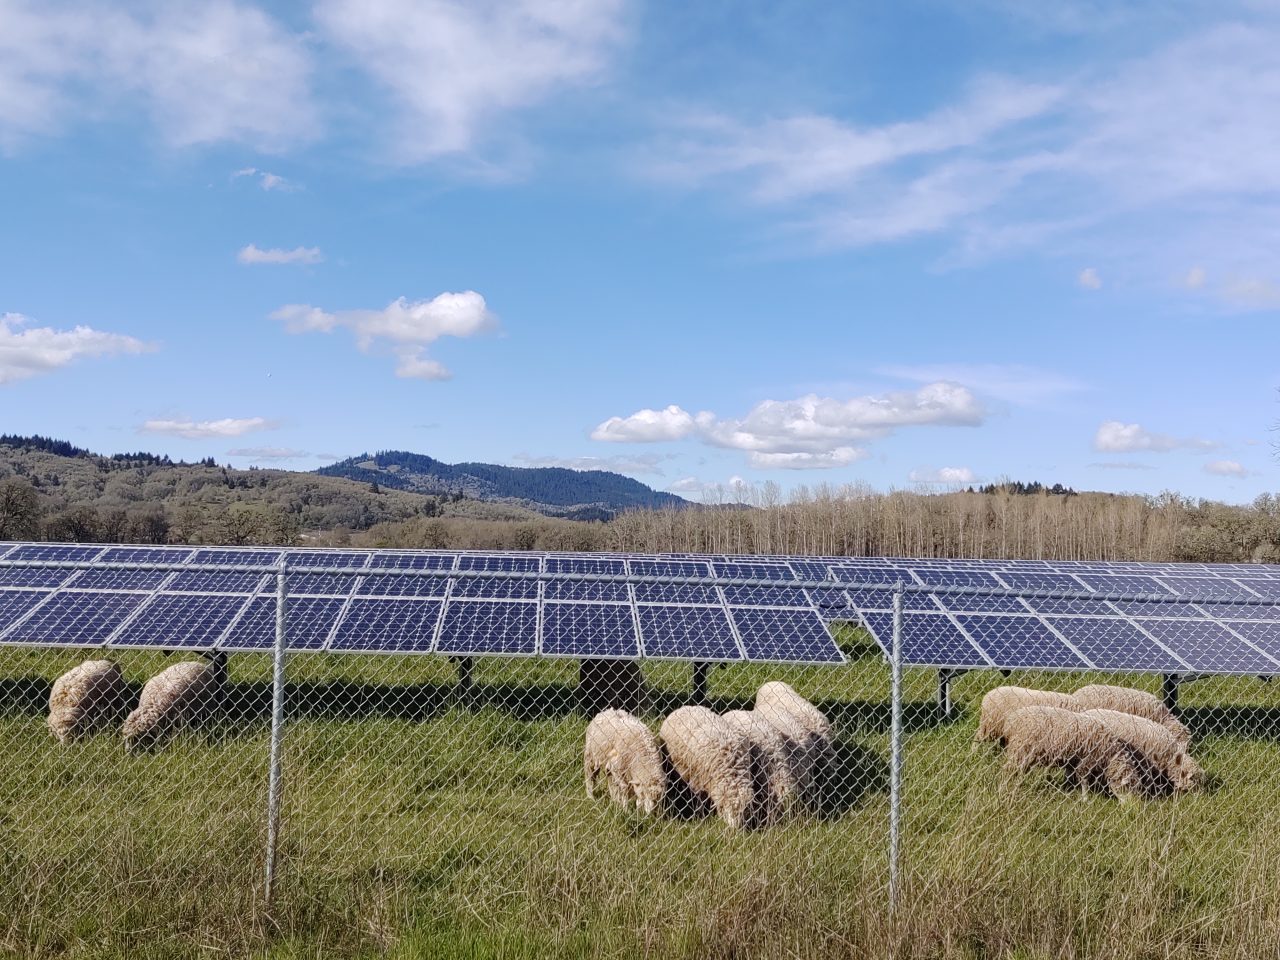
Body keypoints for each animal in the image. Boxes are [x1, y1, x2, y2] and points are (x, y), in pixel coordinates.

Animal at [660, 701, 757, 829]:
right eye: (730, 809)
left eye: (744, 811)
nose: (735, 829)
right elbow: (700, 799)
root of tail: (684, 707)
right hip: (673, 765)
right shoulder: (697, 779)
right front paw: (701, 816)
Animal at [1003, 701, 1146, 798]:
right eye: (1127, 788)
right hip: (1021, 749)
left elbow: (1070, 776)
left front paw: (1068, 789)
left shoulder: (1074, 760)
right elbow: (1083, 780)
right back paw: (1006, 790)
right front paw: (1085, 798)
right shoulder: (1087, 760)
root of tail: (1012, 719)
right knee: (1008, 770)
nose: (1130, 808)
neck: (1109, 753)